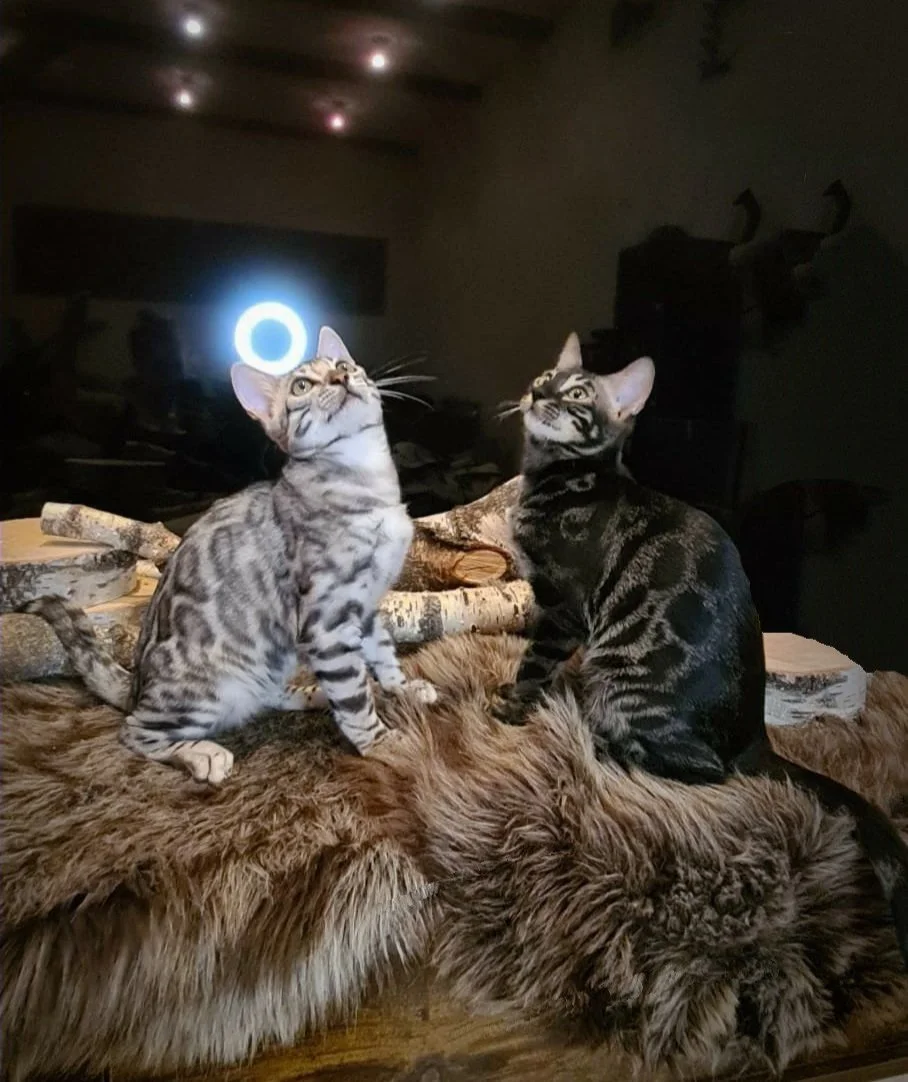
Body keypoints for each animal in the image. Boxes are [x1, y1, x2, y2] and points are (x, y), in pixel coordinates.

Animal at [24, 326, 436, 784]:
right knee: (133, 732)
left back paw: (308, 693)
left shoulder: (366, 606)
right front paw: (382, 742)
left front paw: (401, 688)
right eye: (302, 386)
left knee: (267, 695)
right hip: (211, 688)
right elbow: (353, 694)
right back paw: (201, 753)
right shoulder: (327, 619)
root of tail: (134, 687)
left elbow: (382, 653)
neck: (368, 485)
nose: (340, 378)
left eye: (343, 365)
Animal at [495, 331, 908, 965]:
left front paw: (513, 707)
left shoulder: (561, 611)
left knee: (709, 775)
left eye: (578, 393)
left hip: (623, 677)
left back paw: (610, 752)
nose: (539, 393)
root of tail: (755, 732)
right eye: (545, 377)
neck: (558, 478)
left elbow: (534, 664)